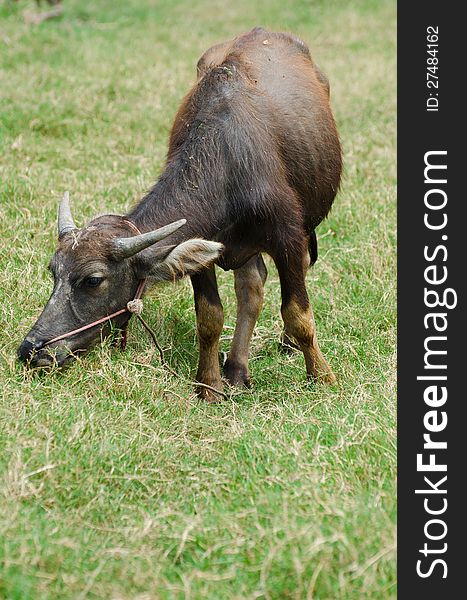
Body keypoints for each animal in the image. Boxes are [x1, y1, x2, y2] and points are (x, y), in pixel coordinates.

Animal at [18, 27, 342, 398]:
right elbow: (210, 317)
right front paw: (209, 385)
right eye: (53, 271)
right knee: (251, 286)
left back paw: (284, 346)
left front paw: (322, 377)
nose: (32, 351)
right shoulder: (203, 248)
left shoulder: (287, 237)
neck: (228, 162)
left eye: (93, 280)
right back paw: (237, 368)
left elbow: (297, 314)